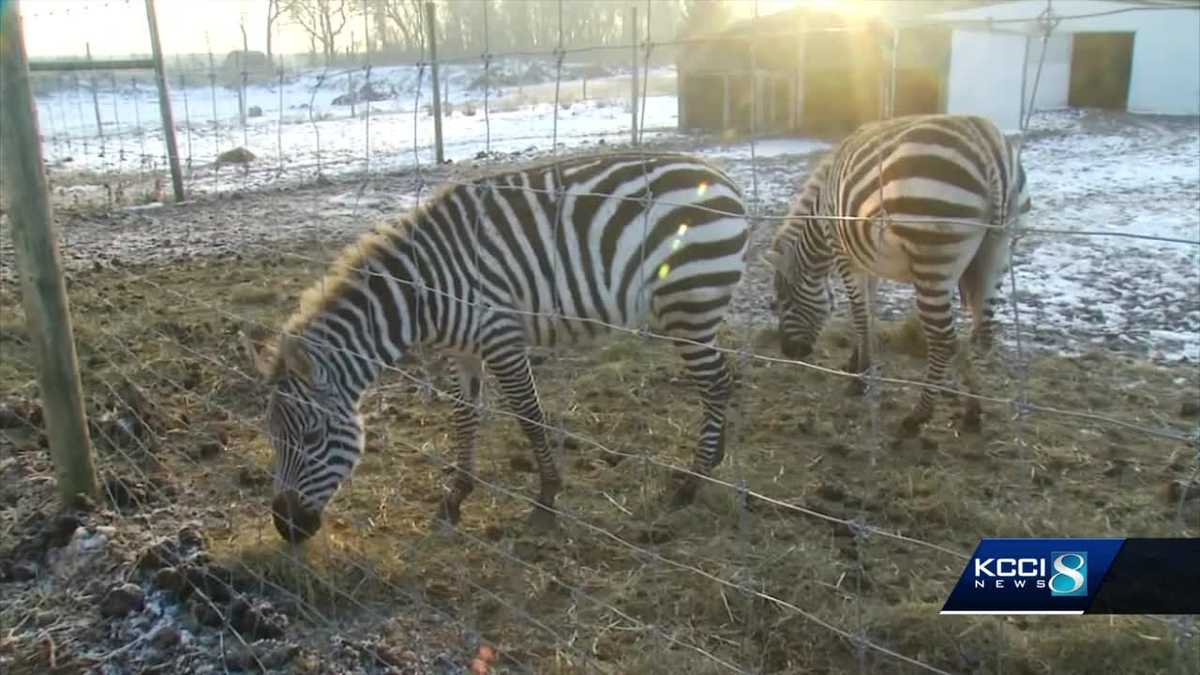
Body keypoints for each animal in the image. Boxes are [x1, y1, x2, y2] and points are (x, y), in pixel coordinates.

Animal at [245, 152, 750, 542]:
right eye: (273, 438)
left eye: (313, 437)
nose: (286, 528)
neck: (424, 292)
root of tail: (722, 177)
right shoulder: (462, 349)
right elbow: (464, 416)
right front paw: (455, 497)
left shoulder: (501, 336)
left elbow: (528, 414)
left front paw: (546, 496)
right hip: (692, 309)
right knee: (719, 379)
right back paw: (713, 459)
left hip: (689, 302)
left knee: (715, 382)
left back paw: (692, 482)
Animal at [765, 114, 1031, 435]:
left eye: (782, 301)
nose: (790, 352)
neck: (821, 218)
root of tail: (986, 141)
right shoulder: (868, 259)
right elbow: (869, 312)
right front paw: (856, 362)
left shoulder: (844, 254)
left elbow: (859, 314)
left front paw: (859, 378)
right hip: (999, 252)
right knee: (982, 333)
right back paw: (972, 409)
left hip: (932, 254)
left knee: (944, 338)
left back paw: (918, 416)